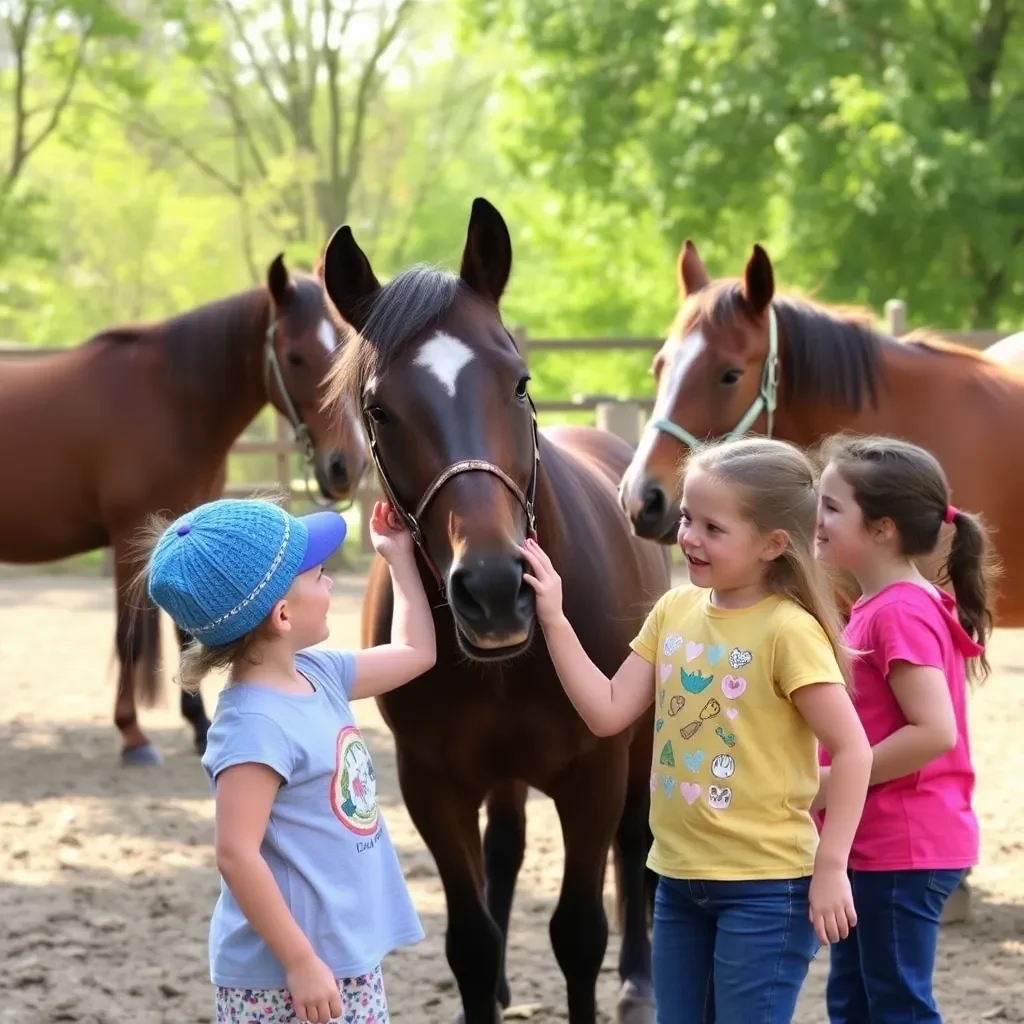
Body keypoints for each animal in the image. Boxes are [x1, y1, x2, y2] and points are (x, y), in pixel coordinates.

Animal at [0, 253, 368, 770]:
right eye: (295, 357)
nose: (346, 467)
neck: (169, 399)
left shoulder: (189, 533)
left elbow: (182, 634)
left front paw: (198, 724)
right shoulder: (131, 539)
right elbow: (130, 638)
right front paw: (134, 736)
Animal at [321, 195, 671, 1019]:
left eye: (518, 381)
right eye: (379, 410)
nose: (490, 590)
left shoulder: (595, 770)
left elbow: (579, 932)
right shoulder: (433, 784)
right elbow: (472, 943)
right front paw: (492, 973)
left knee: (635, 843)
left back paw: (640, 979)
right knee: (506, 846)